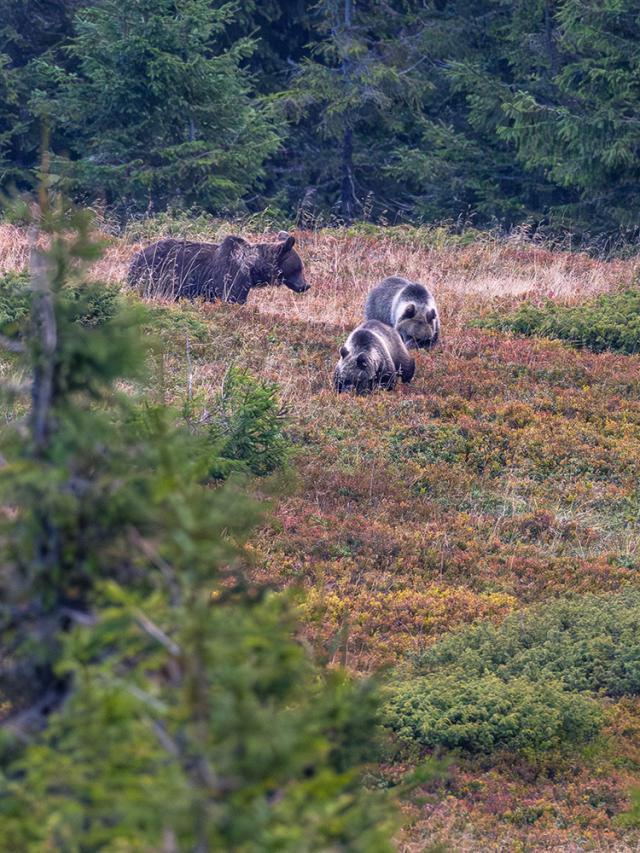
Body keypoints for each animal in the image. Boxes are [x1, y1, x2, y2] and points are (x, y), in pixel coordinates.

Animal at [127, 230, 310, 302]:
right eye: (299, 267)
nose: (306, 285)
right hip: (153, 276)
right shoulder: (230, 279)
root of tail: (135, 257)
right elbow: (232, 299)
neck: (252, 269)